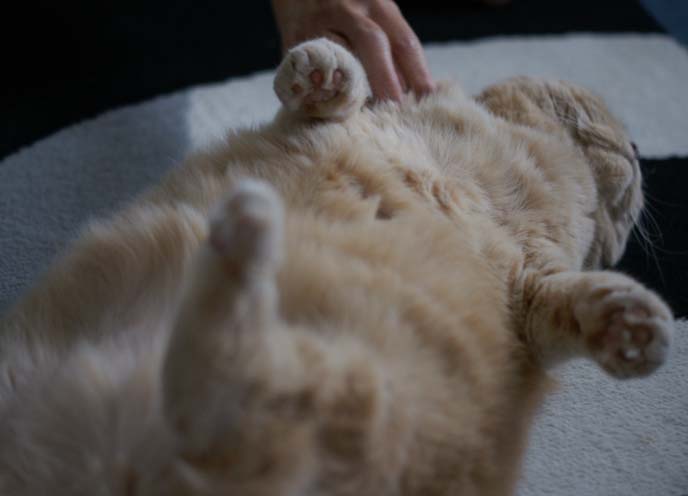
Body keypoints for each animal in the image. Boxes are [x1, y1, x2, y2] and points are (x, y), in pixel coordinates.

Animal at [0, 38, 676, 496]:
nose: (640, 148)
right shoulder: (317, 127)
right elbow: (335, 93)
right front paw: (323, 71)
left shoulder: (530, 294)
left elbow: (571, 300)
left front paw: (633, 326)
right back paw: (246, 234)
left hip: (363, 396)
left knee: (227, 390)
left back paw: (243, 236)